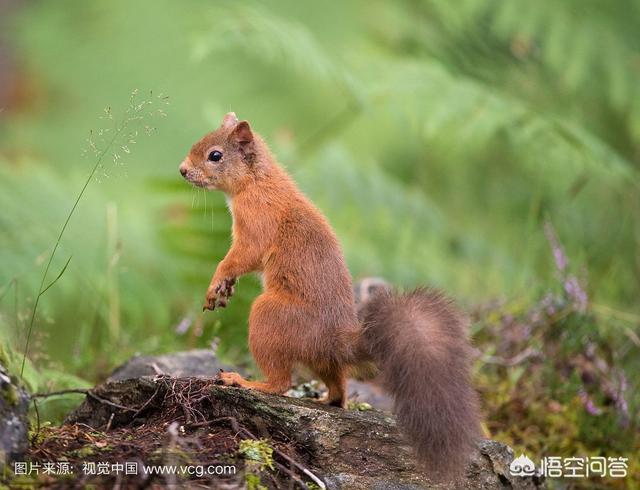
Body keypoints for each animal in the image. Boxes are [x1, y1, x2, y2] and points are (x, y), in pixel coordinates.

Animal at [179, 113, 480, 480]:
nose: (182, 170)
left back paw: (245, 382)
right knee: (339, 389)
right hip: (321, 360)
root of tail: (336, 338)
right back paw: (324, 399)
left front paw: (217, 282)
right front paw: (225, 288)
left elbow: (241, 256)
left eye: (215, 155)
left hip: (269, 316)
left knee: (281, 382)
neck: (257, 182)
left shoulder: (256, 222)